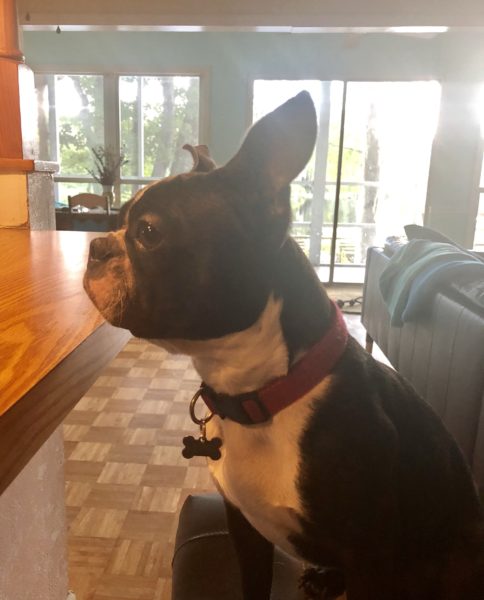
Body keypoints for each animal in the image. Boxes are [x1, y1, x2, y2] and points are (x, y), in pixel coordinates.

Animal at [85, 91, 482, 596]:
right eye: (118, 223)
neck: (263, 394)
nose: (96, 247)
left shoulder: (371, 559)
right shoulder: (243, 527)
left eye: (149, 233)